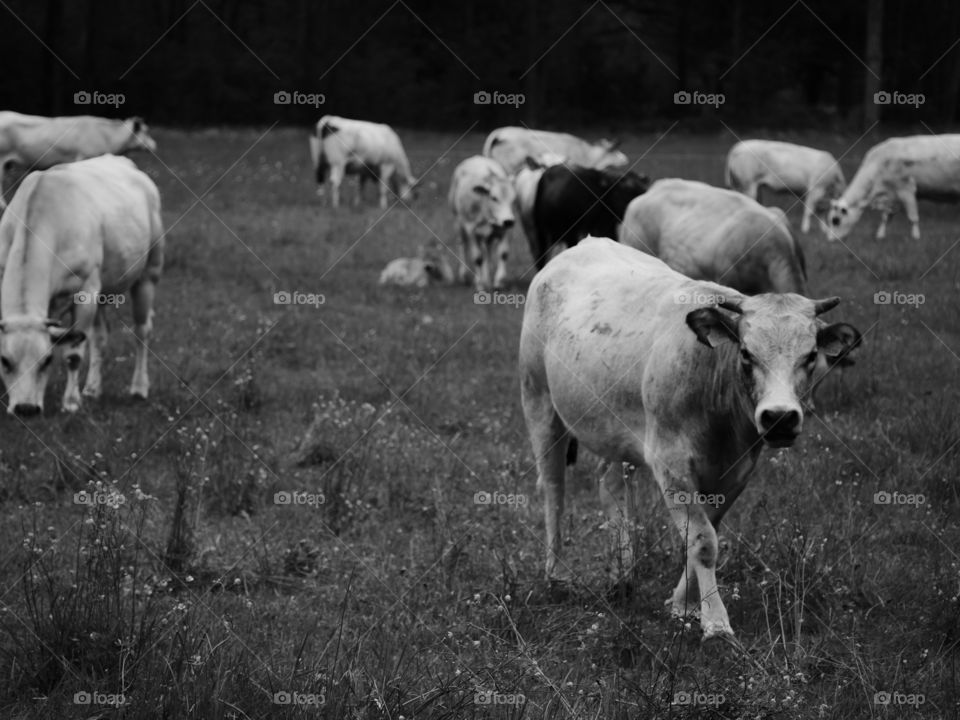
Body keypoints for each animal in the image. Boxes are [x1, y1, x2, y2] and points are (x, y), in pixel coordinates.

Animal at [0, 155, 163, 415]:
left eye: (46, 360)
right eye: (5, 360)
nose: (26, 409)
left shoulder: (85, 292)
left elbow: (74, 353)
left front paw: (71, 402)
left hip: (149, 273)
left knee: (142, 331)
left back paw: (139, 387)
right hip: (103, 289)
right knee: (100, 337)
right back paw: (93, 388)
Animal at [448, 156, 516, 292]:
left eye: (513, 199)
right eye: (494, 198)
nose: (509, 221)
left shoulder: (504, 230)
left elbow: (503, 253)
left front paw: (498, 281)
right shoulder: (472, 230)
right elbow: (478, 258)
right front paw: (479, 285)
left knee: (487, 252)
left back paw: (487, 277)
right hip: (458, 222)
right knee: (462, 245)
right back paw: (465, 275)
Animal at [519, 236, 855, 639]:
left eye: (810, 355)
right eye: (746, 353)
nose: (779, 417)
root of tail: (582, 245)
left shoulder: (736, 470)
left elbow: (709, 528)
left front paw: (684, 605)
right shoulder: (671, 465)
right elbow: (702, 540)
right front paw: (715, 622)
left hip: (612, 429)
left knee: (611, 486)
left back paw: (622, 575)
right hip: (539, 402)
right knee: (554, 489)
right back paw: (556, 574)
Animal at [827, 134, 960, 241]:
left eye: (836, 220)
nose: (830, 240)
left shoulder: (906, 190)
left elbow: (913, 217)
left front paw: (916, 237)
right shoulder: (892, 196)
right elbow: (886, 217)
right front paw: (880, 236)